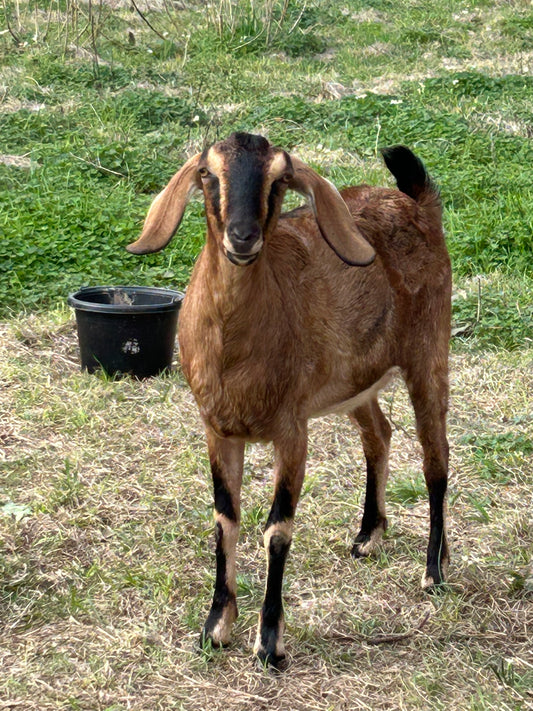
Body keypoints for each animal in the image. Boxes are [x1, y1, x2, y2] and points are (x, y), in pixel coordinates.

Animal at [127, 132, 451, 667]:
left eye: (279, 179)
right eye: (208, 174)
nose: (242, 238)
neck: (236, 352)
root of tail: (416, 202)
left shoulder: (291, 430)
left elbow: (277, 530)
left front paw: (268, 642)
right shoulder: (217, 429)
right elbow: (225, 520)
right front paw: (215, 628)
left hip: (429, 350)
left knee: (436, 460)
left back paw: (435, 571)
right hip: (353, 380)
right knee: (379, 435)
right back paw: (370, 536)